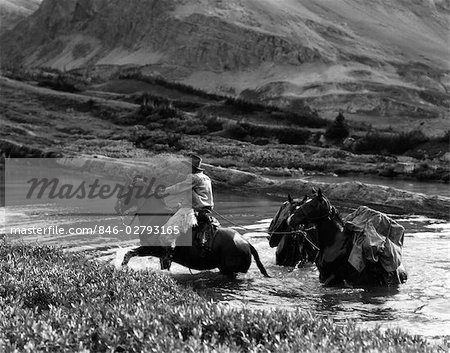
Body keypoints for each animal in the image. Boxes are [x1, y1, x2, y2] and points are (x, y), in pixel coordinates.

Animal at [116, 179, 270, 278]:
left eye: (127, 190)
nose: (117, 207)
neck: (155, 216)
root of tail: (246, 243)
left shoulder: (156, 250)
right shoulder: (156, 253)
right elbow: (129, 254)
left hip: (229, 271)